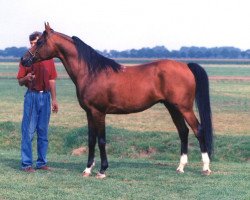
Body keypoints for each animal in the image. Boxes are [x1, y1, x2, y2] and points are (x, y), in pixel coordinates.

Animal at [21, 23, 213, 178]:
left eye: (39, 42)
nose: (24, 60)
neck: (91, 72)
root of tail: (186, 66)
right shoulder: (89, 113)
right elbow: (91, 140)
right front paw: (87, 169)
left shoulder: (99, 113)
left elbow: (101, 140)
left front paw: (102, 170)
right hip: (172, 107)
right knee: (183, 131)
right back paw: (181, 167)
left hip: (184, 107)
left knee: (198, 130)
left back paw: (205, 168)